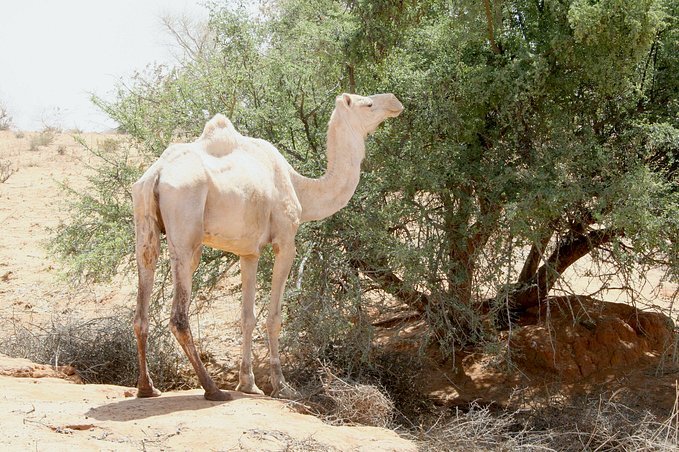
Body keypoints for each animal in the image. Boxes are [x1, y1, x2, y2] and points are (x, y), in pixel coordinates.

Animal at [133, 92, 404, 400]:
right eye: (367, 104)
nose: (395, 102)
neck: (300, 188)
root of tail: (156, 174)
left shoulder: (248, 251)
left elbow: (247, 316)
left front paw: (248, 384)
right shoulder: (285, 241)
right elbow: (274, 316)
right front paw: (282, 385)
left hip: (143, 221)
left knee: (142, 295)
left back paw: (147, 388)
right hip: (186, 226)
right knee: (179, 314)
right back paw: (213, 389)